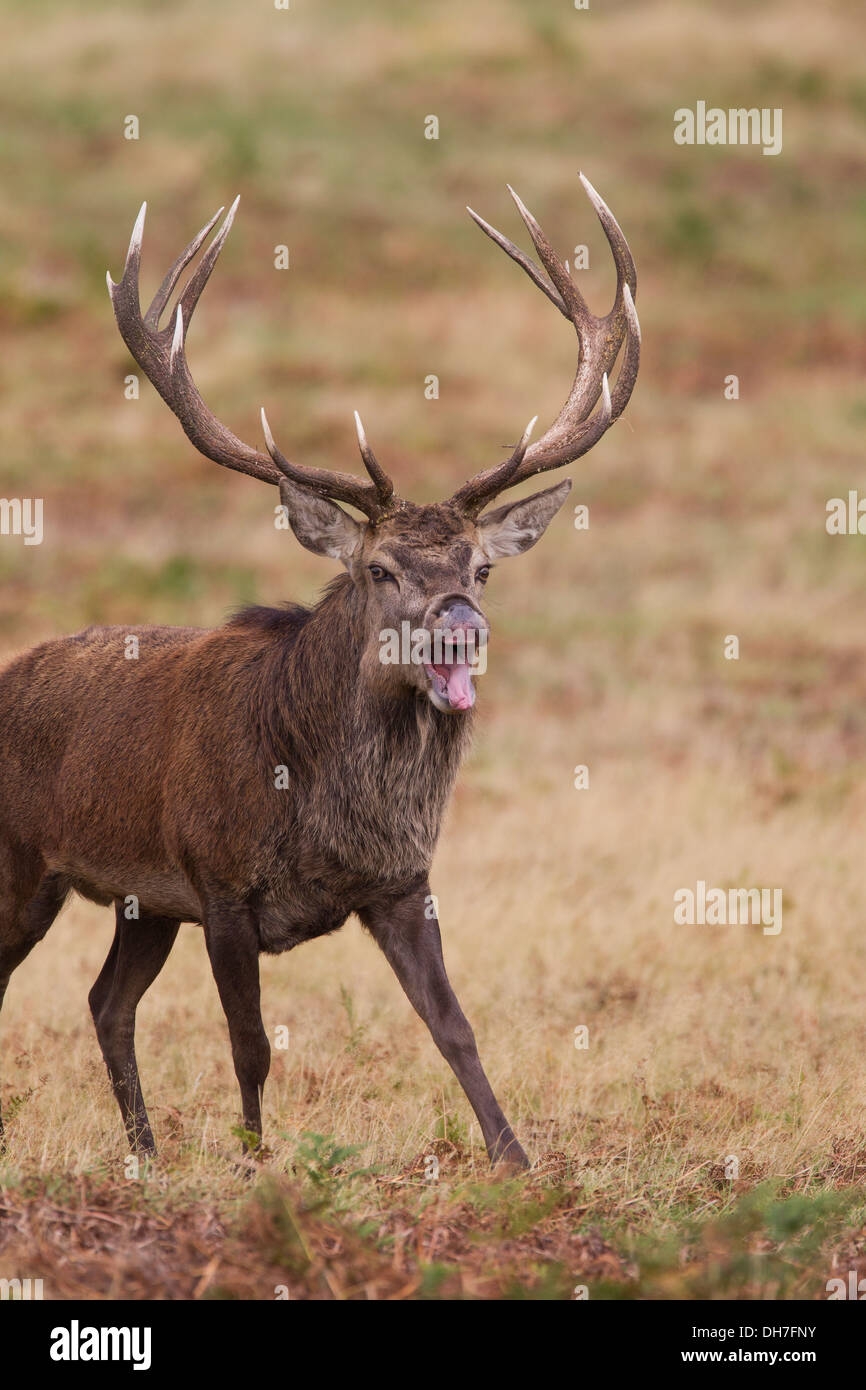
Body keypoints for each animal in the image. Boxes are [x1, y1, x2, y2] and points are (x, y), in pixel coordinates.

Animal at [0, 175, 639, 1171]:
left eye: (480, 568)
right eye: (379, 569)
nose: (461, 628)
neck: (325, 808)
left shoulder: (402, 882)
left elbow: (455, 1027)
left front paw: (516, 1160)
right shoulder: (220, 884)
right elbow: (250, 1044)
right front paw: (256, 1160)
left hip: (142, 904)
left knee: (106, 1002)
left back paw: (148, 1155)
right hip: (28, 863)